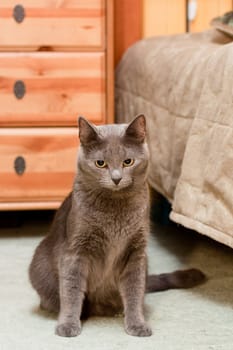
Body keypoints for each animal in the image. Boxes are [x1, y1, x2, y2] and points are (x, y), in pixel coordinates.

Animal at [29, 115, 206, 336]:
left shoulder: (136, 252)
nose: (116, 178)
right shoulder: (75, 250)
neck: (115, 211)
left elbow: (134, 290)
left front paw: (137, 323)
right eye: (100, 163)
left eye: (128, 161)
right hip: (39, 267)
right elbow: (71, 290)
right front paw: (68, 325)